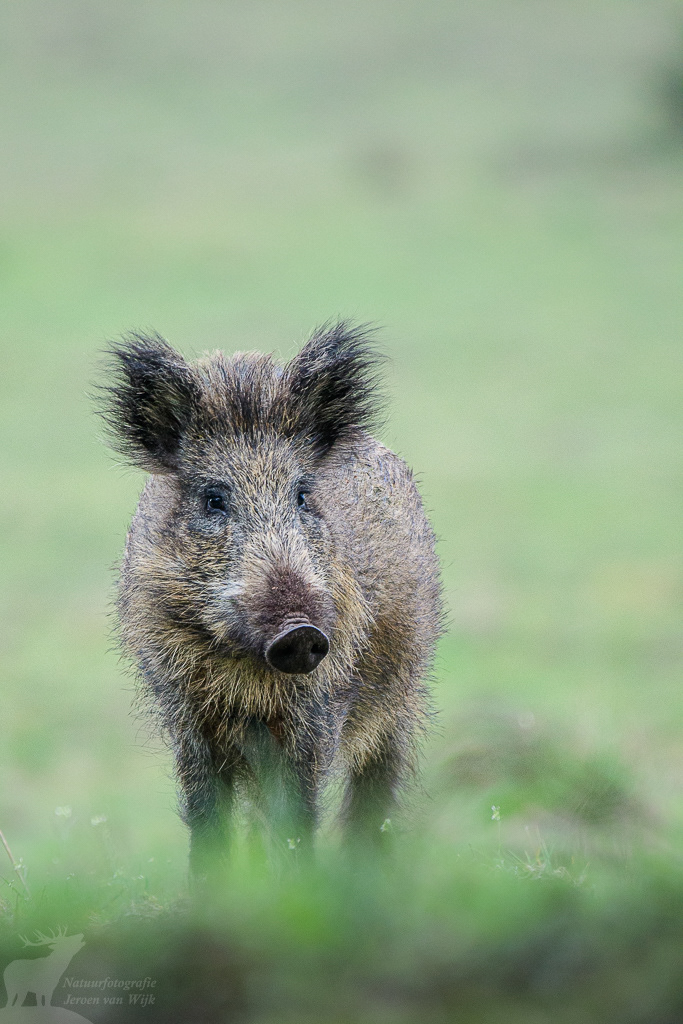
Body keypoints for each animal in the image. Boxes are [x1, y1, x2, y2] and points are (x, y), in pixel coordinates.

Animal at [100, 321, 443, 873]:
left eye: (302, 495)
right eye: (213, 499)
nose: (299, 631)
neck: (246, 674)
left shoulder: (318, 710)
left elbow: (296, 818)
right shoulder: (185, 712)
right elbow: (207, 818)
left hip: (404, 698)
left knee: (374, 793)